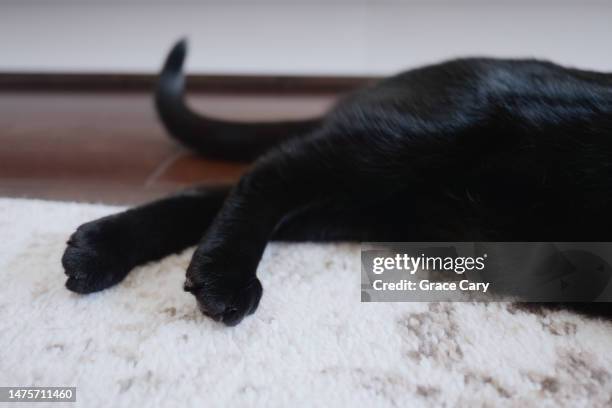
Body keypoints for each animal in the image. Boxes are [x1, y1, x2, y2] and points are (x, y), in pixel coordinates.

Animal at [62, 39, 612, 326]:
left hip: (382, 199)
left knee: (214, 195)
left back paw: (98, 249)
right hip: (436, 130)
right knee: (270, 171)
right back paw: (222, 274)